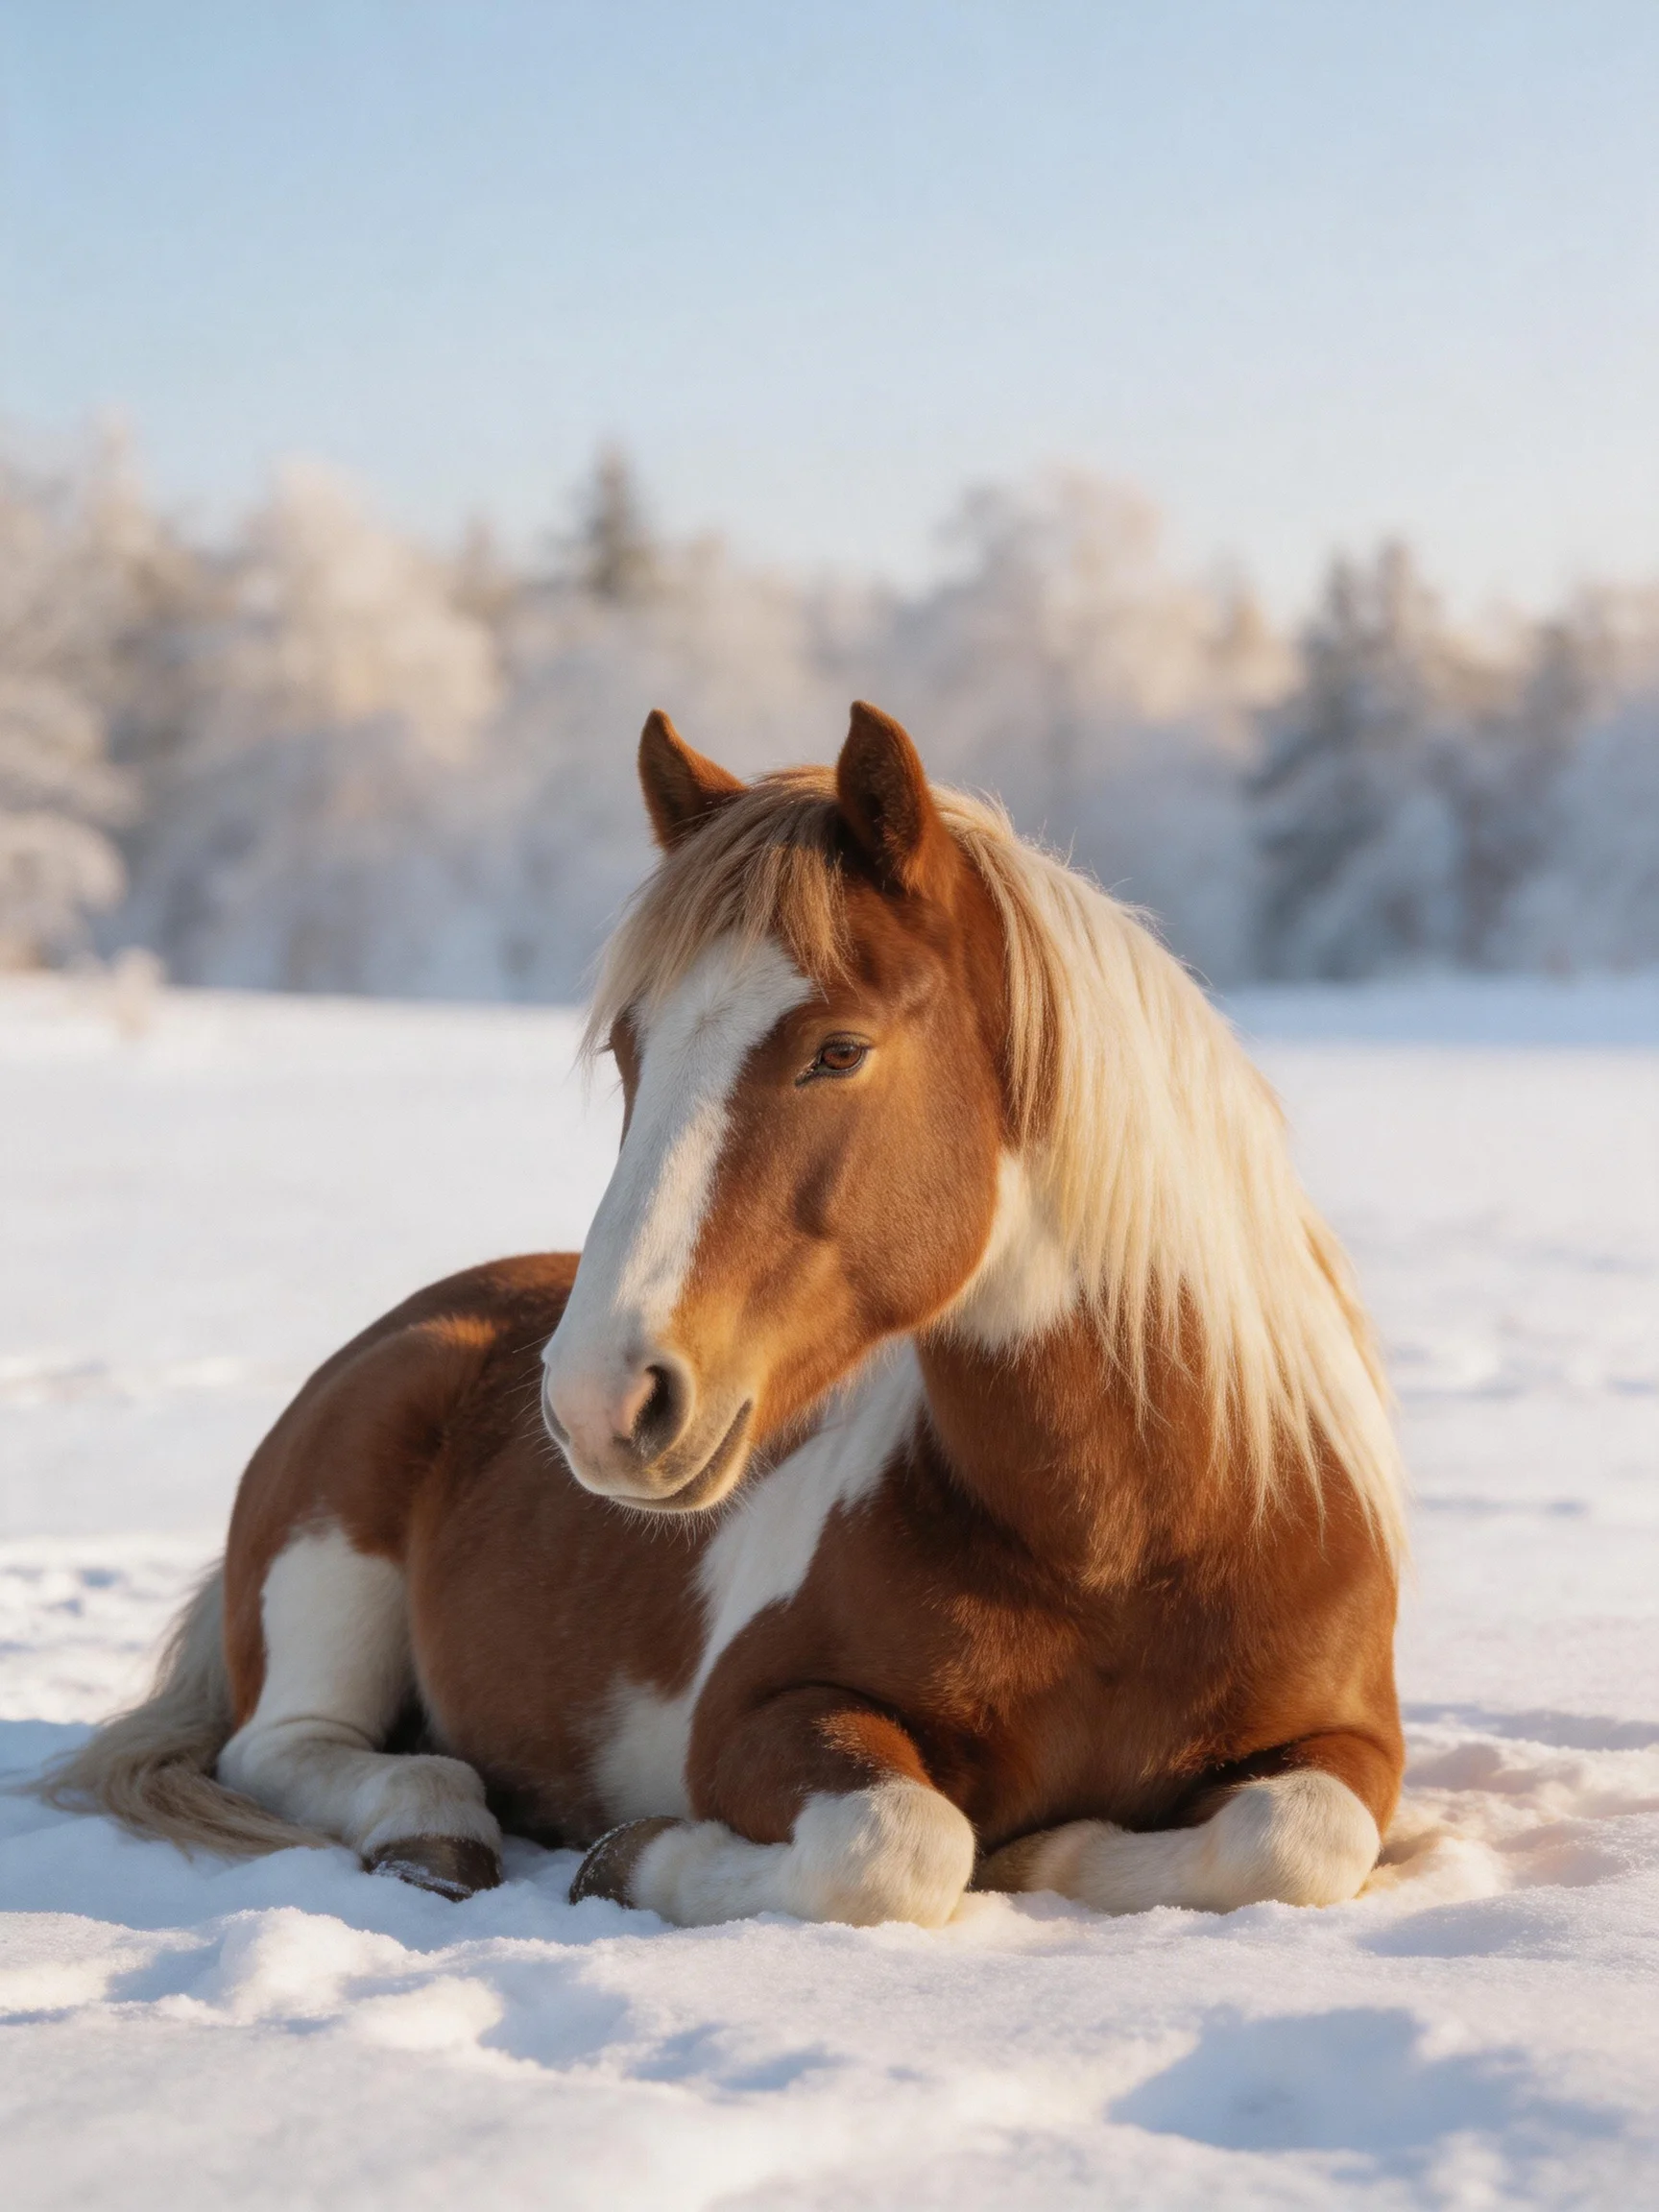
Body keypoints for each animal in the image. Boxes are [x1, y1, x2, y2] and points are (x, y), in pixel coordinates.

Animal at [45, 702, 1407, 1927]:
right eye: (629, 1050)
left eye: (840, 1050)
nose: (600, 1403)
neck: (1127, 1542)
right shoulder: (761, 1719)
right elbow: (901, 1844)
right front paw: (637, 1860)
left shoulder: (1354, 1745)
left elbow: (1298, 1838)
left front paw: (1056, 1852)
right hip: (330, 1574)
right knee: (296, 1750)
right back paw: (435, 1824)